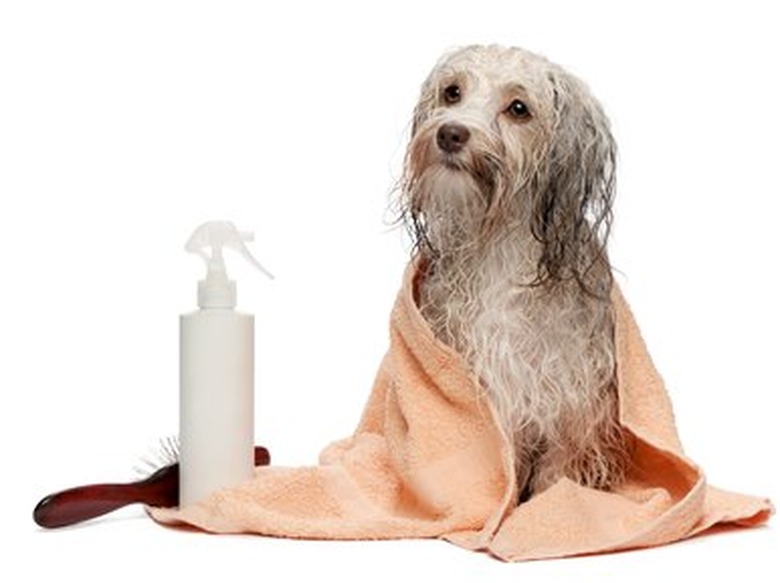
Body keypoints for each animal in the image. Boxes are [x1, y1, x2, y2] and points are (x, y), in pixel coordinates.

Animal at [400, 46, 632, 502]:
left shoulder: (572, 406)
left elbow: (555, 478)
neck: (499, 251)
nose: (451, 134)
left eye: (519, 108)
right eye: (452, 92)